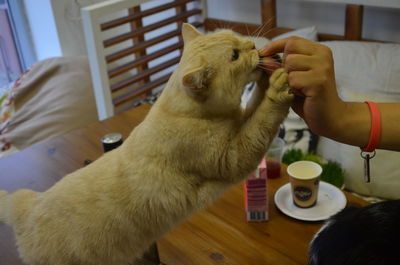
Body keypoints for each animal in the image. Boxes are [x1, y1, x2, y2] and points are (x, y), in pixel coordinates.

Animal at [0, 23, 294, 264]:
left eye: (236, 37)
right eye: (234, 55)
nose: (253, 46)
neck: (185, 112)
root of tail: (24, 206)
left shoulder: (241, 121)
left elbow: (256, 105)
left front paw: (271, 70)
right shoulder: (233, 158)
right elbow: (264, 116)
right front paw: (277, 87)